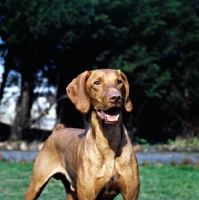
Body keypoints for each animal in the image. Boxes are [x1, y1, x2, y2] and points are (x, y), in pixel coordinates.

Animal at [24, 69, 140, 200]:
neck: (109, 142)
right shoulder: (87, 194)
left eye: (119, 82)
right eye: (97, 82)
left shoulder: (131, 194)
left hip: (71, 191)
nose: (116, 97)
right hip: (36, 185)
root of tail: (57, 130)